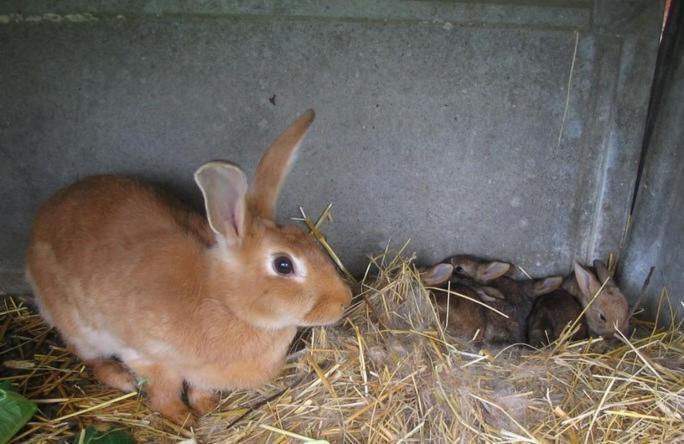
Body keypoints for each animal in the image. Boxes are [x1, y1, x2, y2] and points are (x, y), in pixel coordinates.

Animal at [25, 110, 352, 424]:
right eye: (283, 264)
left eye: (306, 239)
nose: (344, 300)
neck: (224, 301)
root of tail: (41, 218)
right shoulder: (149, 356)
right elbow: (164, 391)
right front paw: (181, 418)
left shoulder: (200, 374)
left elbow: (199, 388)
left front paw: (206, 407)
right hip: (82, 328)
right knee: (85, 353)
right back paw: (122, 379)